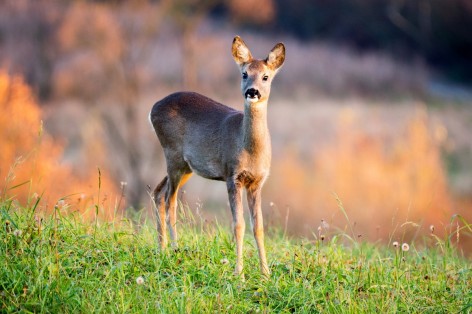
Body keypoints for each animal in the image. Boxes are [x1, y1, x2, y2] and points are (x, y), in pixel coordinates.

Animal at [149, 36, 286, 278]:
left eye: (265, 76)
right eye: (244, 74)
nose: (252, 92)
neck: (249, 149)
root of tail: (152, 108)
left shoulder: (257, 182)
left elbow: (258, 227)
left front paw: (266, 274)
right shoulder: (232, 176)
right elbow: (238, 225)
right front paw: (239, 274)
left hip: (186, 166)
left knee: (158, 193)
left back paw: (162, 248)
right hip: (172, 154)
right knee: (170, 200)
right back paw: (174, 250)